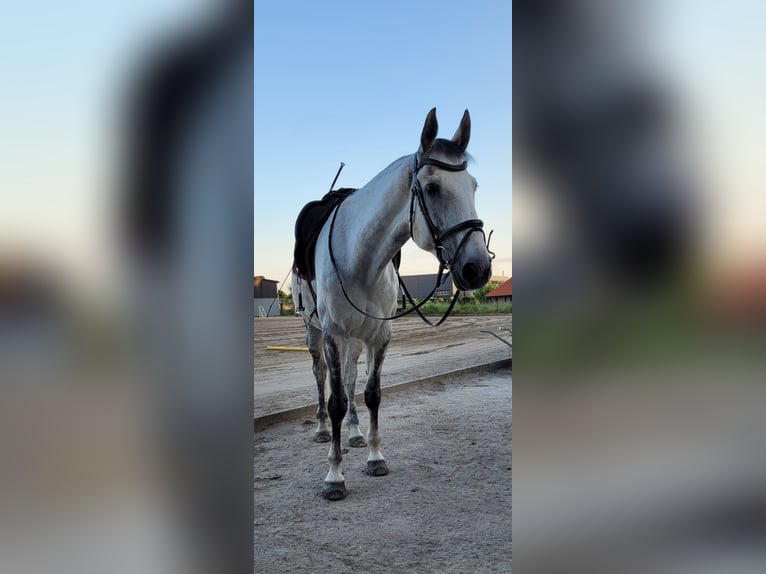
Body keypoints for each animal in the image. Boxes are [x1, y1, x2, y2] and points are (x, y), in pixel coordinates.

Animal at [292, 108, 493, 500]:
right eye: (431, 188)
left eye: (473, 186)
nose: (478, 268)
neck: (360, 259)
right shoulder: (333, 334)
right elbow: (336, 400)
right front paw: (334, 476)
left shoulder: (379, 335)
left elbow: (371, 394)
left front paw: (374, 457)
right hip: (314, 331)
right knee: (321, 377)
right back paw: (323, 430)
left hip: (355, 339)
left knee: (350, 379)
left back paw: (354, 433)